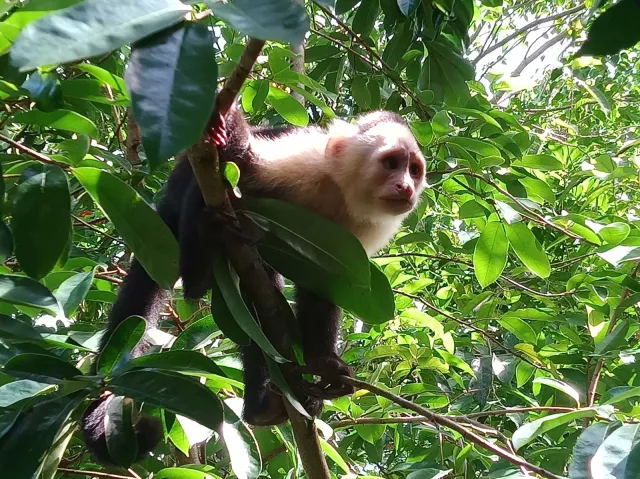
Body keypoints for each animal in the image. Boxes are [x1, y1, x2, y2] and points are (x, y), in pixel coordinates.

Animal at [82, 104, 428, 464]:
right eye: (391, 163)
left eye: (414, 170)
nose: (406, 187)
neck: (340, 193)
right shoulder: (305, 160)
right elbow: (243, 162)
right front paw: (224, 122)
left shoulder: (361, 231)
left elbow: (323, 286)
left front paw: (324, 363)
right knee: (208, 194)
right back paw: (198, 271)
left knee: (259, 304)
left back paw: (265, 407)